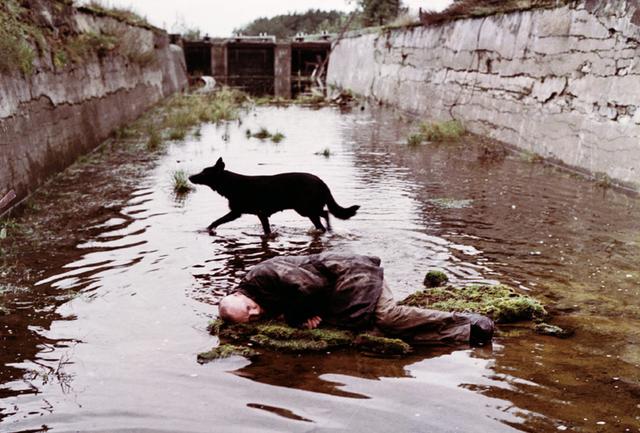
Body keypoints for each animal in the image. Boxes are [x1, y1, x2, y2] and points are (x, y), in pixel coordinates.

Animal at [190, 157, 360, 235]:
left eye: (204, 173)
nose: (190, 177)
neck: (231, 184)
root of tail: (321, 182)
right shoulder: (257, 214)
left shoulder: (240, 213)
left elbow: (216, 221)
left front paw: (208, 229)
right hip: (307, 210)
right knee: (324, 217)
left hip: (305, 209)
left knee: (325, 213)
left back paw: (329, 230)